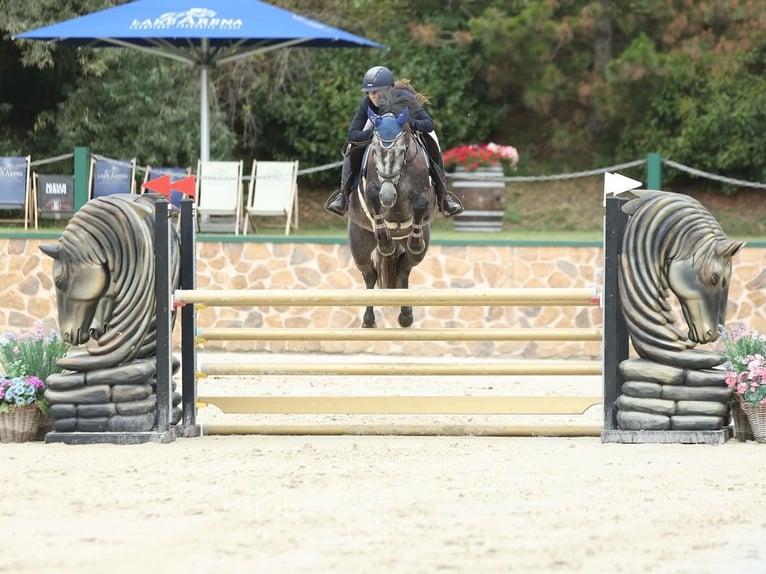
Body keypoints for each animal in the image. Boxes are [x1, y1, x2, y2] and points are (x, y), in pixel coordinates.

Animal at [346, 87, 437, 328]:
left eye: (403, 149)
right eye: (375, 150)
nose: (388, 196)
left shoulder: (427, 196)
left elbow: (420, 203)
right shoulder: (370, 189)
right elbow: (372, 196)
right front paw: (385, 240)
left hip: (420, 248)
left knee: (405, 269)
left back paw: (406, 316)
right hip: (359, 243)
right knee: (369, 274)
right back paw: (368, 320)